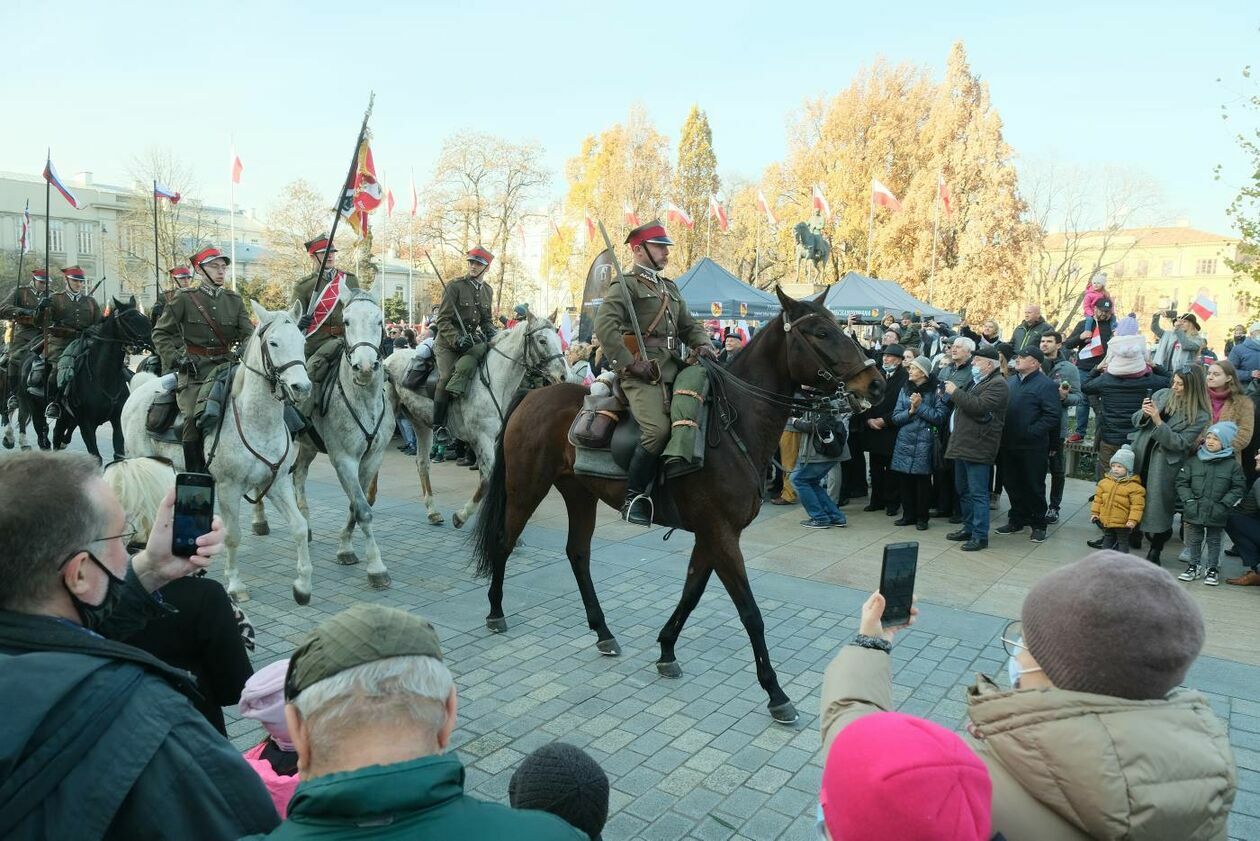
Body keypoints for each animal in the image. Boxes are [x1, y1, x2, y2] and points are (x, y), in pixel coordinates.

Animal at [120, 302, 315, 605]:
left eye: (302, 342)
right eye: (273, 342)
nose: (302, 388)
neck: (254, 420)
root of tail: (141, 386)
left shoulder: (277, 483)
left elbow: (299, 527)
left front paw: (303, 585)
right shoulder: (227, 487)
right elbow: (233, 535)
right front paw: (234, 584)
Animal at [264, 290, 393, 592]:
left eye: (379, 320)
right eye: (346, 321)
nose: (365, 367)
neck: (363, 400)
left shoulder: (373, 459)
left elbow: (357, 505)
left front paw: (345, 547)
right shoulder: (344, 459)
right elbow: (362, 509)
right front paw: (376, 566)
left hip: (308, 446)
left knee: (299, 475)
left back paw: (306, 524)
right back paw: (259, 520)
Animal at [383, 312, 572, 529]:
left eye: (558, 339)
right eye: (542, 340)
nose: (564, 375)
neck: (496, 382)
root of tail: (388, 359)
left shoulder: (496, 441)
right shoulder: (482, 438)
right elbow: (488, 479)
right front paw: (462, 516)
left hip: (421, 423)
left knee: (422, 463)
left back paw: (432, 511)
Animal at [473, 287, 887, 726]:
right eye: (821, 332)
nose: (876, 383)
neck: (732, 427)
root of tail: (532, 394)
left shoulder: (713, 534)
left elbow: (691, 592)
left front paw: (666, 649)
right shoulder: (721, 534)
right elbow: (750, 612)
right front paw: (775, 693)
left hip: (579, 494)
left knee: (578, 554)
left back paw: (603, 632)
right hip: (526, 488)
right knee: (504, 541)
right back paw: (496, 612)